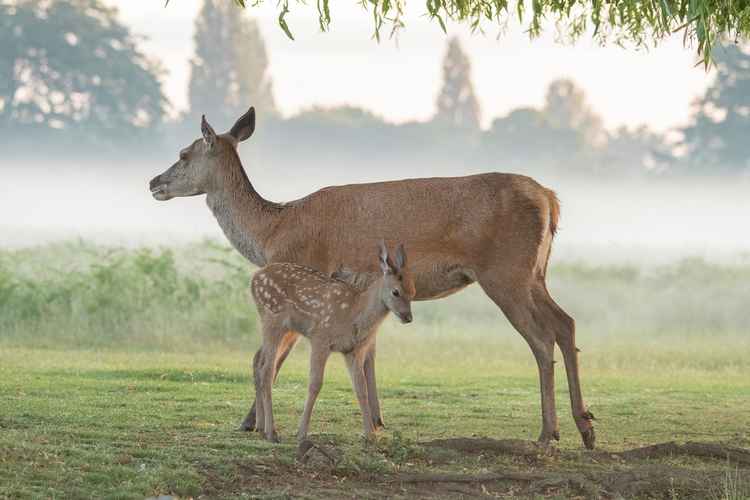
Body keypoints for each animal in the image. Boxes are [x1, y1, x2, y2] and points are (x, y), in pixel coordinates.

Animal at [150, 105, 600, 450]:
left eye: (184, 153)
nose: (153, 181)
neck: (271, 232)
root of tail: (550, 199)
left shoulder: (307, 269)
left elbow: (275, 357)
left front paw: (253, 423)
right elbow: (367, 355)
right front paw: (377, 420)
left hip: (505, 272)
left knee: (540, 339)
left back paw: (548, 432)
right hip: (535, 273)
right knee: (566, 322)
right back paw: (585, 426)